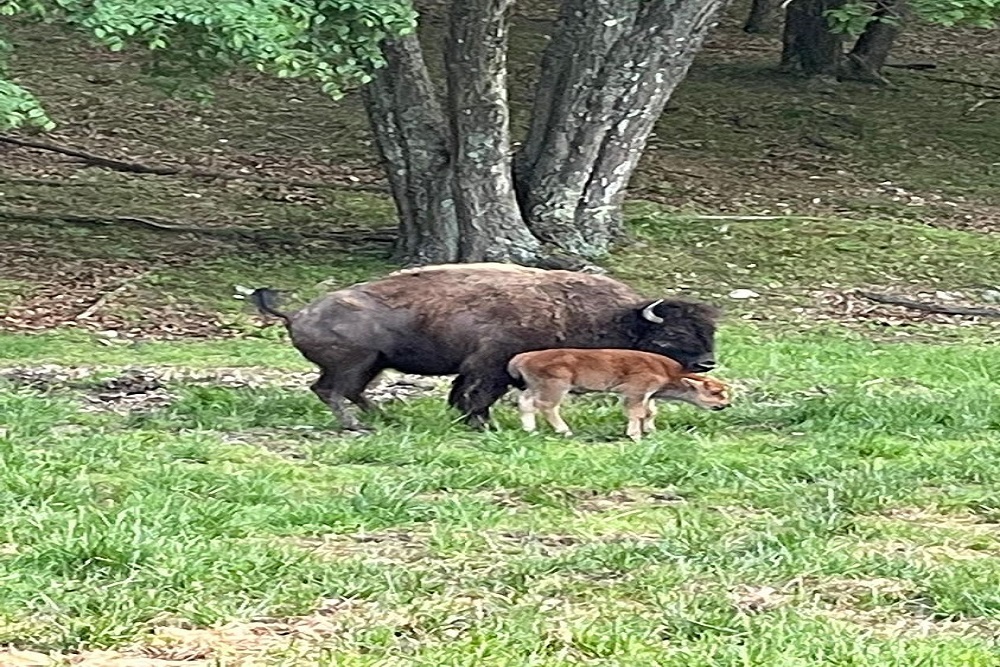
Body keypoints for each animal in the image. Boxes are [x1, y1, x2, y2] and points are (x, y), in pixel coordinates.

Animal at [248, 262, 720, 430]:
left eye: (709, 332)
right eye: (673, 335)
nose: (707, 363)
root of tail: (298, 313)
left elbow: (467, 394)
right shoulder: (490, 365)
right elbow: (478, 394)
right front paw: (480, 423)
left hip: (373, 363)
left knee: (350, 391)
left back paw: (384, 417)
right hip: (355, 362)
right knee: (333, 390)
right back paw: (356, 425)